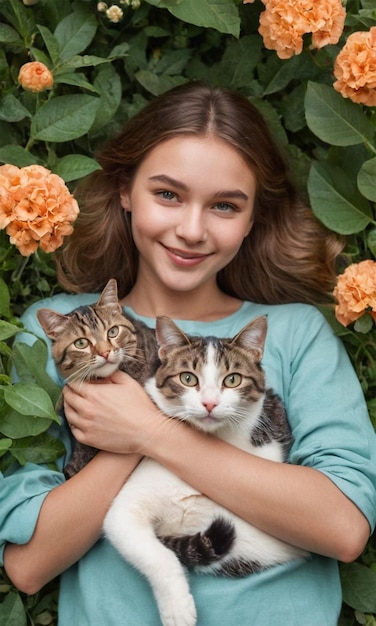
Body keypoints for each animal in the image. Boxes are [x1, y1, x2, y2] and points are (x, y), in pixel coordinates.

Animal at [37, 280, 306, 624]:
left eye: (232, 380)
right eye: (82, 343)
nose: (209, 403)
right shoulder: (125, 514)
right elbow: (159, 556)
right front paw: (178, 609)